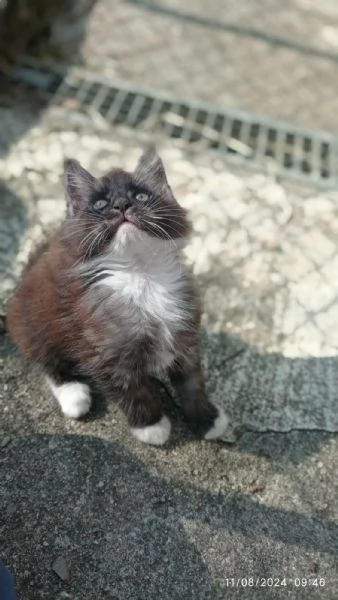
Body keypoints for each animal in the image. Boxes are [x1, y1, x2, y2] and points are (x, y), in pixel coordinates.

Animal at [6, 147, 227, 442]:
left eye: (141, 196)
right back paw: (74, 395)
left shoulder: (185, 334)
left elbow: (193, 383)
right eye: (100, 204)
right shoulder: (103, 350)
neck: (142, 275)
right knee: (47, 360)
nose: (122, 205)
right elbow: (132, 391)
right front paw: (152, 427)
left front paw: (206, 419)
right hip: (35, 324)